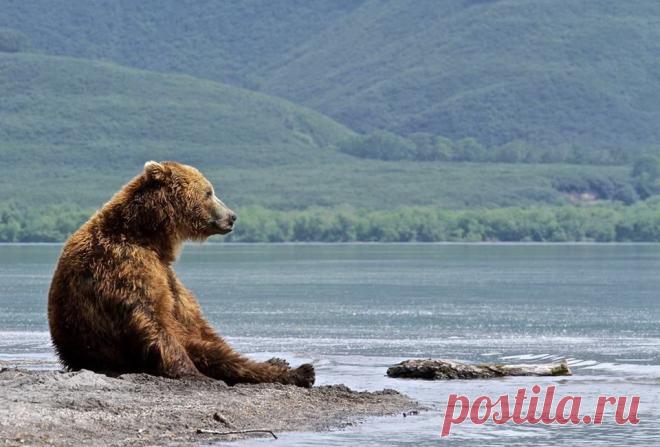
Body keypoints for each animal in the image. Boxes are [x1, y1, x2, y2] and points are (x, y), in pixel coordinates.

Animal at [47, 161, 315, 387]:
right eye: (209, 192)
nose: (232, 217)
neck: (147, 236)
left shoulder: (168, 275)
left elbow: (193, 319)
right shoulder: (126, 264)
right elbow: (153, 320)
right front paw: (195, 373)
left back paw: (281, 363)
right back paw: (300, 372)